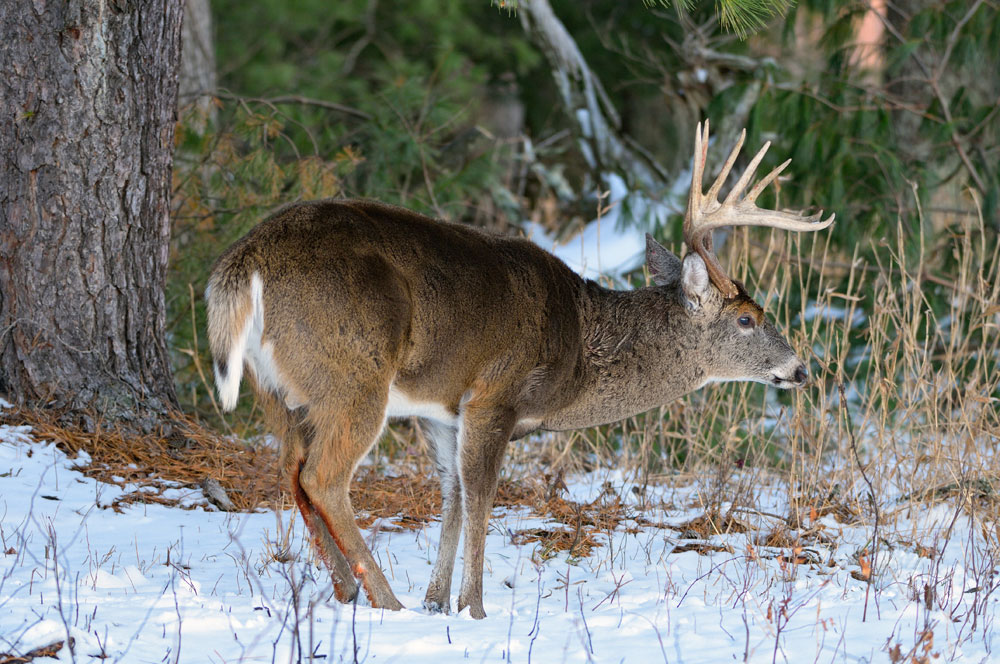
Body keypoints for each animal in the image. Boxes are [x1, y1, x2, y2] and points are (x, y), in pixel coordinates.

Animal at [207, 120, 832, 616]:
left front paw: (438, 603)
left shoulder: (443, 412)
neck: (579, 349)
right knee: (323, 476)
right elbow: (483, 495)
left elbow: (452, 497)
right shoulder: (496, 394)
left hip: (279, 389)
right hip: (353, 372)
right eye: (748, 319)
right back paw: (385, 600)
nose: (801, 369)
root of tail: (242, 265)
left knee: (290, 470)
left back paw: (347, 592)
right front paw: (473, 609)